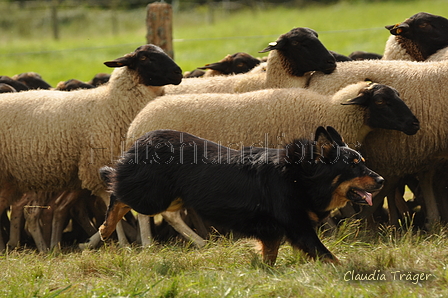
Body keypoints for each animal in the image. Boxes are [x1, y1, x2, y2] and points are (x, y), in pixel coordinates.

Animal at [0, 44, 184, 250]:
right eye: (144, 58)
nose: (178, 73)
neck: (111, 105)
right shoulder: (96, 168)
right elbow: (110, 205)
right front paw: (122, 243)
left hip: (11, 180)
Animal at [100, 127, 384, 264]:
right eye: (353, 166)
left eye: (362, 162)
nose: (382, 181)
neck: (299, 176)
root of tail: (143, 138)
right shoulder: (298, 227)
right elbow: (328, 256)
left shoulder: (273, 231)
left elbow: (270, 256)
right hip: (152, 197)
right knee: (116, 190)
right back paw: (105, 228)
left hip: (174, 198)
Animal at [102, 81, 420, 247]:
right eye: (382, 101)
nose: (415, 125)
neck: (330, 110)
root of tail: (137, 124)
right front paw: (336, 228)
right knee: (139, 209)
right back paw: (149, 243)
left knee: (163, 212)